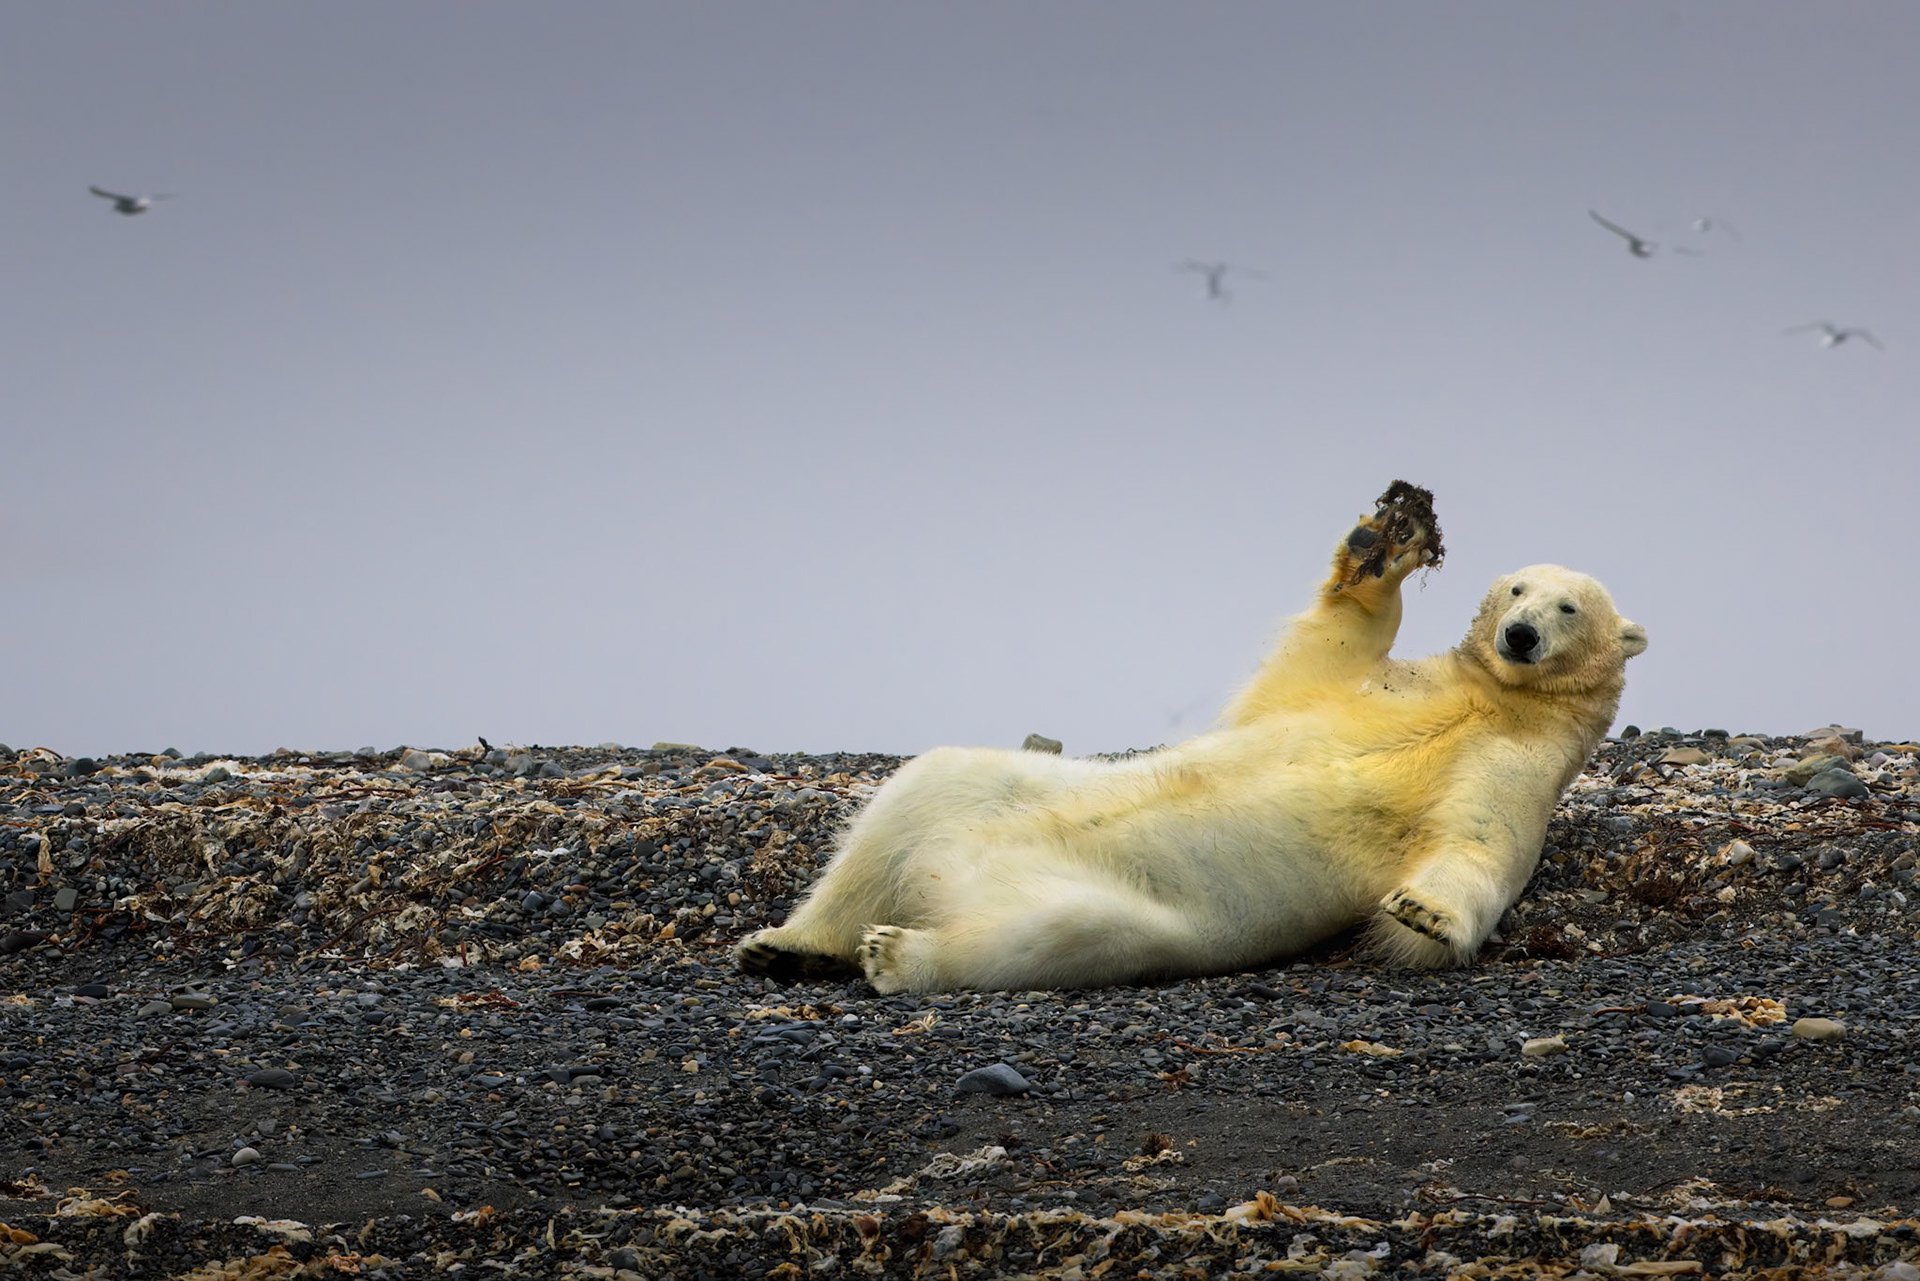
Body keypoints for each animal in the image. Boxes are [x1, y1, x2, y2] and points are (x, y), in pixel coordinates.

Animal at [735, 482, 1647, 993]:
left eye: (1570, 606)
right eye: (1519, 588)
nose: (1520, 636)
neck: (1492, 700)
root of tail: (944, 877)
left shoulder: (1520, 766)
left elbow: (1478, 844)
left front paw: (1419, 911)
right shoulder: (1374, 688)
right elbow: (1328, 646)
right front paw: (1385, 539)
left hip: (1125, 906)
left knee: (1063, 932)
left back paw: (895, 954)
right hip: (996, 796)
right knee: (924, 788)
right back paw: (786, 944)